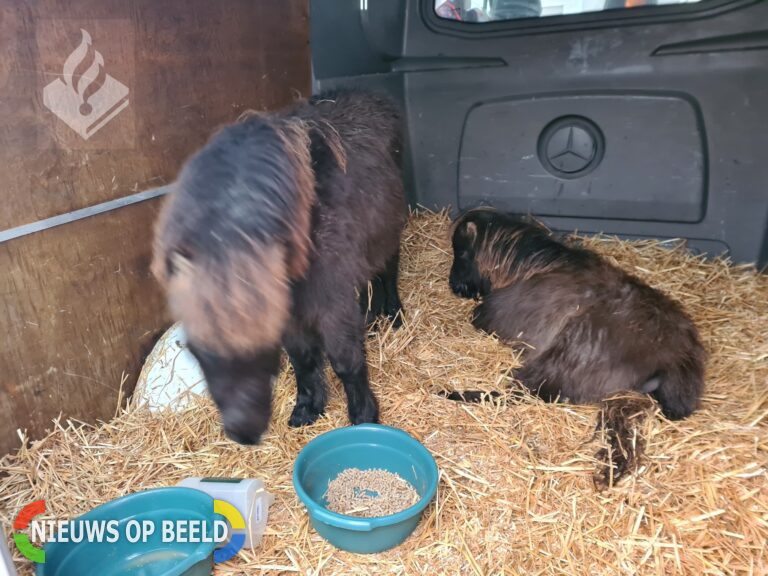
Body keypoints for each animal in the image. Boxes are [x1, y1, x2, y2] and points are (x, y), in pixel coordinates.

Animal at [152, 91, 408, 446]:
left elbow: (345, 360)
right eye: (197, 353)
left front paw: (363, 415)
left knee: (388, 269)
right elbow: (304, 360)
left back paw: (394, 314)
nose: (243, 433)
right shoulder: (292, 314)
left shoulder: (332, 302)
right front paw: (307, 408)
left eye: (264, 353)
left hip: (390, 230)